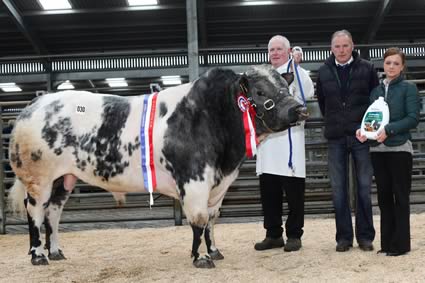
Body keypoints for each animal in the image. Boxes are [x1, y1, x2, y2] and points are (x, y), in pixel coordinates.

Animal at [8, 65, 306, 270]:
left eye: (286, 86)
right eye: (260, 91)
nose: (299, 109)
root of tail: (35, 104)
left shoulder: (218, 186)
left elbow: (211, 221)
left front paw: (214, 251)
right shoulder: (194, 180)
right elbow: (199, 220)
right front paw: (201, 257)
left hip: (64, 179)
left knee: (53, 214)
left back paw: (56, 252)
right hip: (39, 178)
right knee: (35, 213)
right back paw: (38, 255)